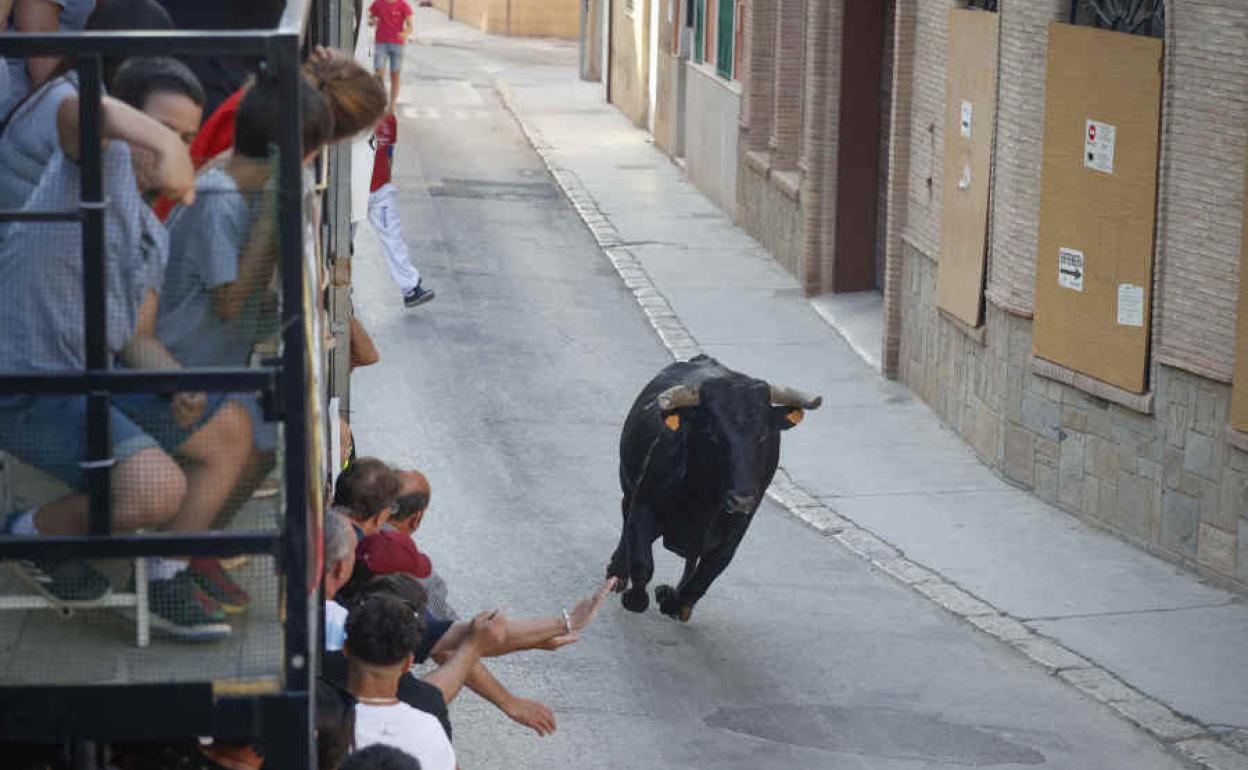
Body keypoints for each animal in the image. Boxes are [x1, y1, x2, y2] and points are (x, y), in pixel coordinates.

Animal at [604, 354, 818, 618]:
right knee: (627, 523)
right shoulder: (644, 502)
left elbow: (702, 579)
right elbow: (642, 561)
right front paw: (635, 597)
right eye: (713, 433)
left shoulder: (734, 532)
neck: (703, 500)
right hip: (628, 484)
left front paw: (673, 600)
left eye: (763, 436)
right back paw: (617, 571)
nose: (742, 500)